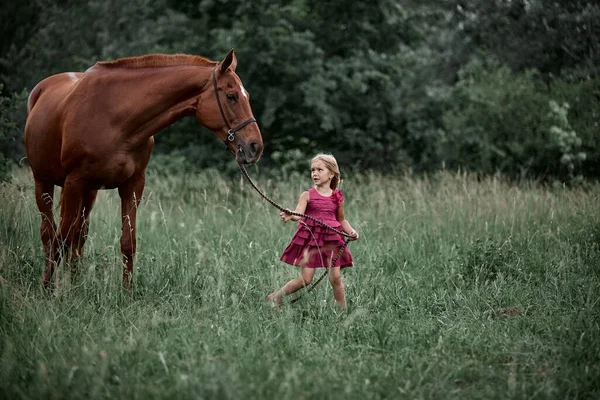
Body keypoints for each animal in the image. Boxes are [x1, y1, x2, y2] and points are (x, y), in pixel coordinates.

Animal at [24, 50, 262, 288]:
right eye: (231, 96)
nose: (255, 147)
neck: (115, 118)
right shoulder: (74, 183)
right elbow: (60, 239)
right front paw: (49, 288)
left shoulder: (133, 185)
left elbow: (127, 243)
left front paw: (127, 292)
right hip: (43, 182)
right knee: (49, 233)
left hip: (89, 192)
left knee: (79, 233)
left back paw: (75, 279)